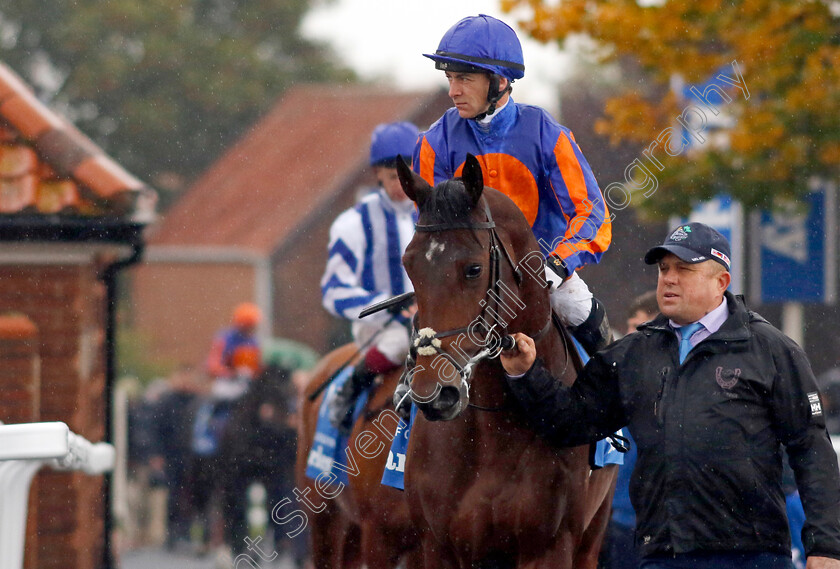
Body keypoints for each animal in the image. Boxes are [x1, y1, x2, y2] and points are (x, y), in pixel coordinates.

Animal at [394, 153, 616, 564]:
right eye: (409, 265)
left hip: (592, 535)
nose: (436, 394)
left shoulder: (550, 546)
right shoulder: (437, 547)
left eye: (473, 268)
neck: (491, 431)